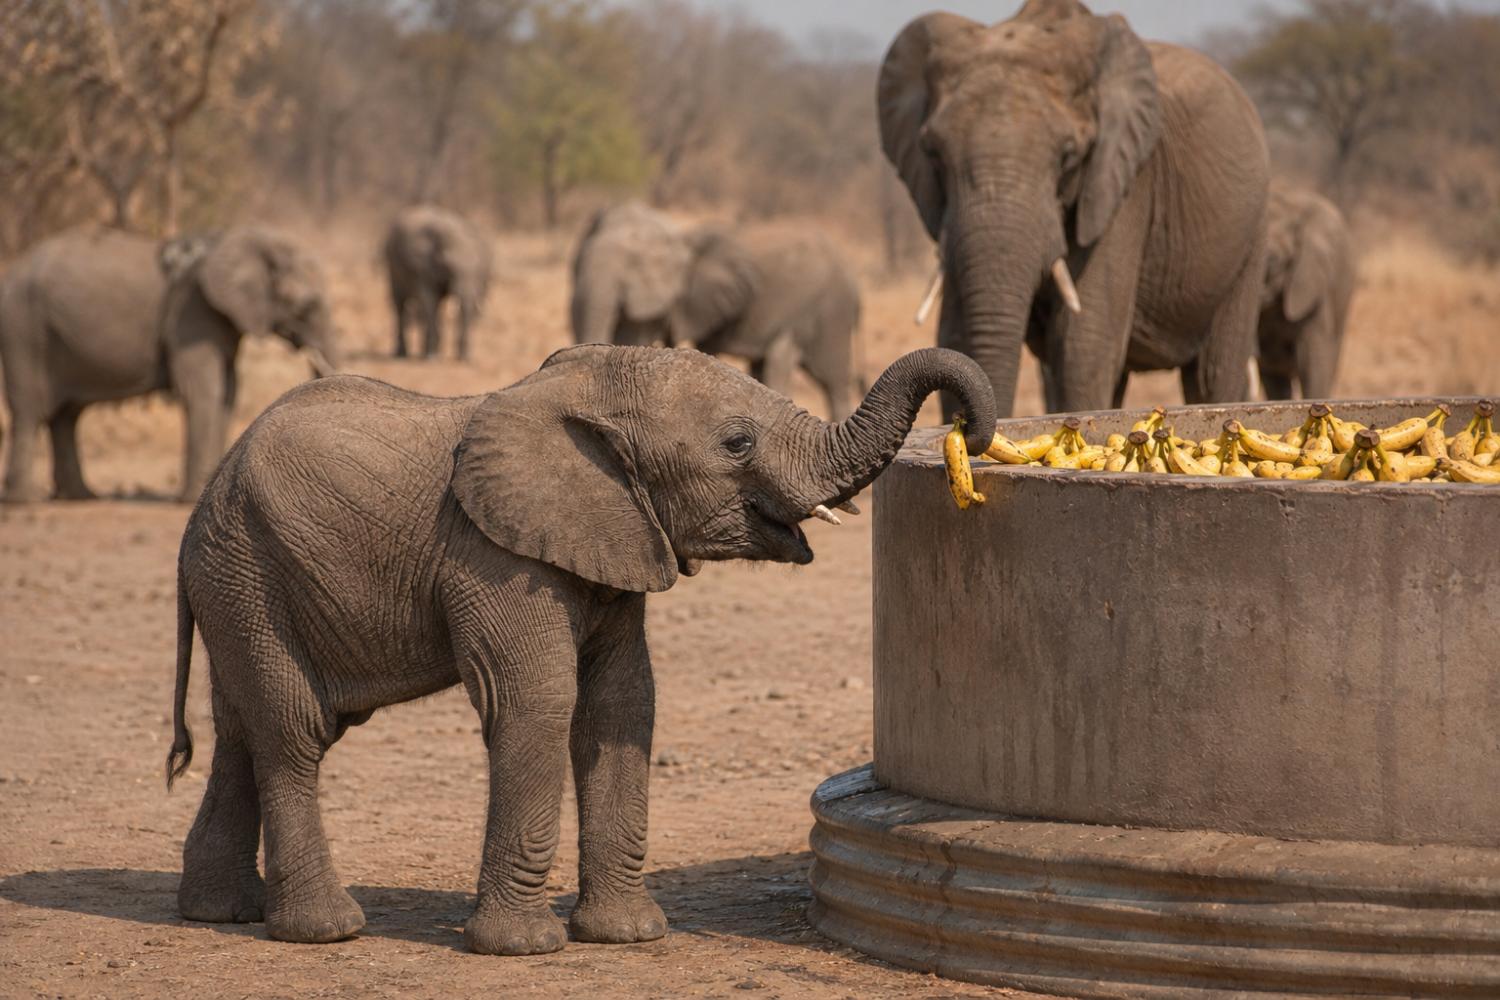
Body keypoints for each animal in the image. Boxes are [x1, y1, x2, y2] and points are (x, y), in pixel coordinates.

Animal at [0, 225, 337, 502]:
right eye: (307, 305)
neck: (235, 236)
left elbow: (228, 391)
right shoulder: (191, 314)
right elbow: (203, 389)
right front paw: (191, 498)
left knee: (66, 415)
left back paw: (80, 496)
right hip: (22, 329)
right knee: (30, 409)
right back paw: (25, 501)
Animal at [164, 343, 994, 954]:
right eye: (737, 442)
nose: (973, 435)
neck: (583, 395)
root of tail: (203, 505)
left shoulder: (614, 536)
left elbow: (623, 704)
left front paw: (628, 936)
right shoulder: (495, 554)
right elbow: (539, 700)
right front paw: (523, 949)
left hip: (239, 581)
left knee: (240, 733)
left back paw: (222, 914)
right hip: (249, 571)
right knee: (294, 731)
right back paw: (325, 931)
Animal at [384, 205, 492, 361]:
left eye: (478, 270)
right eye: (449, 268)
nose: (464, 359)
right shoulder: (423, 266)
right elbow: (429, 300)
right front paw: (431, 357)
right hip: (392, 264)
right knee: (399, 304)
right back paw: (402, 354)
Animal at [879, 0, 1271, 417]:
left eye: (1069, 157)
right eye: (933, 153)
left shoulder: (1125, 187)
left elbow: (1082, 346)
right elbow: (956, 337)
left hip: (1251, 235)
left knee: (1214, 371)